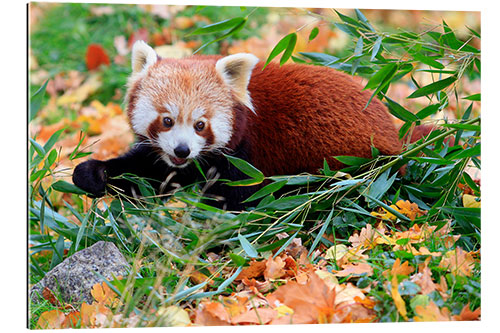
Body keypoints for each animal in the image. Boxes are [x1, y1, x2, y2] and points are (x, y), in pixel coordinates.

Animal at [73, 40, 402, 208]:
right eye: (167, 120)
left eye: (200, 125)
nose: (182, 150)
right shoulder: (170, 160)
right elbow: (147, 174)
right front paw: (93, 173)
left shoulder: (246, 156)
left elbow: (235, 200)